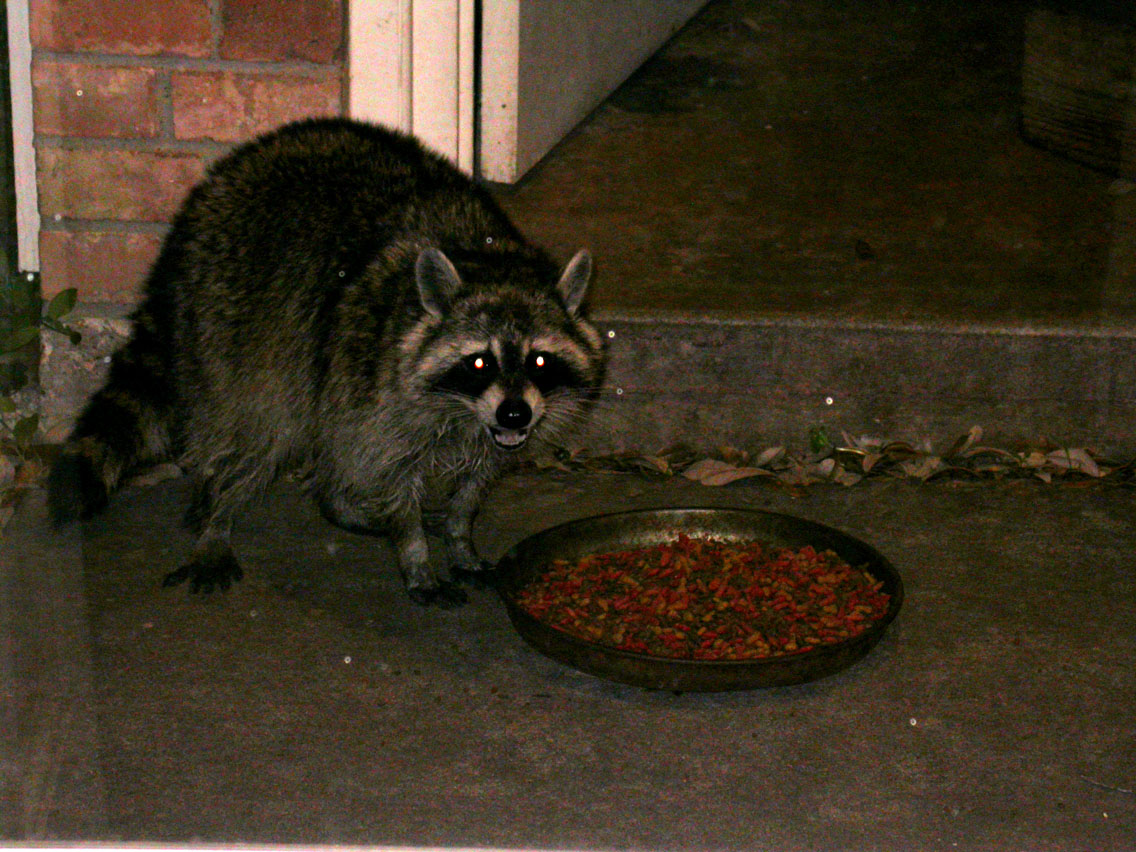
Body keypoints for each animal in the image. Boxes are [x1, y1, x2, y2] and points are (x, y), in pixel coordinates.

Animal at [48, 117, 606, 607]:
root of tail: (202, 201)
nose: (514, 413)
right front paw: (414, 553)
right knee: (254, 426)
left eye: (540, 361)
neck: (488, 263)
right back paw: (219, 511)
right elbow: (387, 470)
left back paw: (336, 502)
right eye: (479, 364)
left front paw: (458, 537)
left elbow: (473, 484)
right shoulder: (376, 385)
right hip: (234, 321)